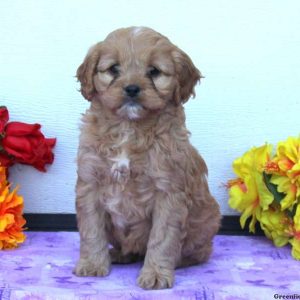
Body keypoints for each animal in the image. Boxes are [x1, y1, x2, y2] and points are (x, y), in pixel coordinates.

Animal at [74, 27, 221, 290]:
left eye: (154, 71)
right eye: (113, 69)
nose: (132, 88)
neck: (129, 128)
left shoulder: (169, 192)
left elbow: (162, 238)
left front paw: (155, 275)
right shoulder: (89, 183)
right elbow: (91, 230)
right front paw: (92, 264)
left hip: (208, 221)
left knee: (201, 252)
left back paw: (180, 261)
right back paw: (119, 254)